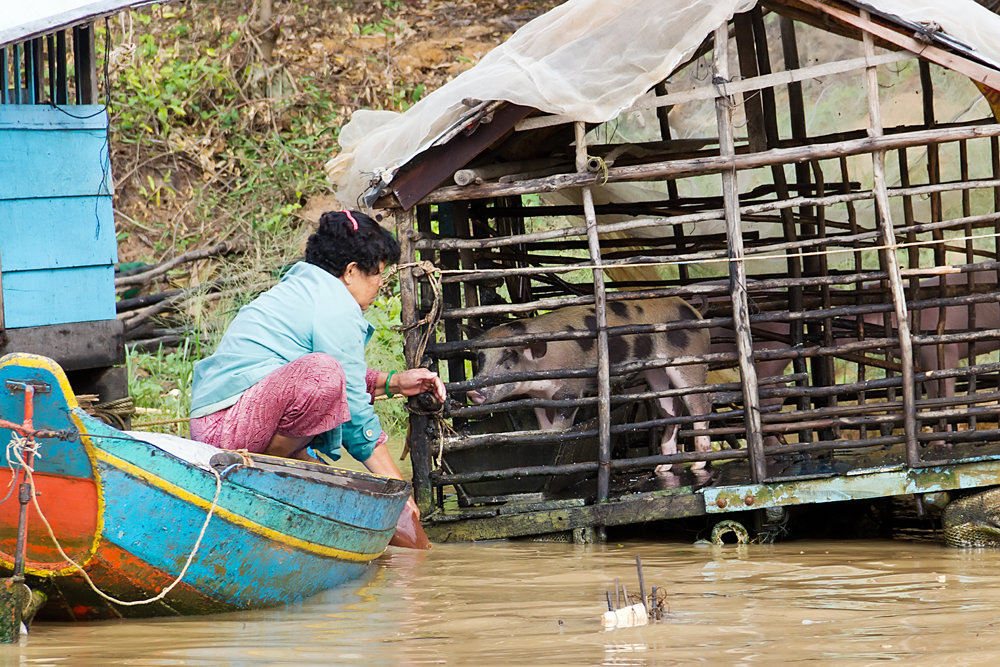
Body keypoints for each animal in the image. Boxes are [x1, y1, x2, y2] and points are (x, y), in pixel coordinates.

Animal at [466, 296, 712, 474]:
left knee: (700, 404)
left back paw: (697, 464)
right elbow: (544, 427)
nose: (472, 391)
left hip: (690, 359)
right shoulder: (538, 397)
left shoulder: (570, 390)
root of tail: (692, 309)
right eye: (481, 358)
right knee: (672, 408)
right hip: (656, 370)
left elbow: (562, 427)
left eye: (509, 356)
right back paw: (661, 467)